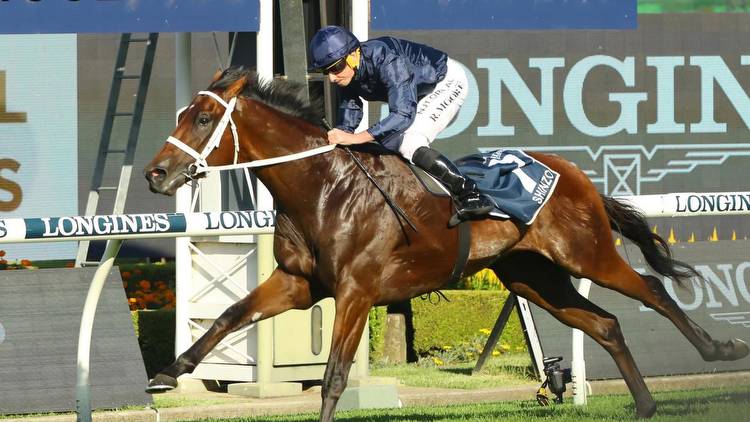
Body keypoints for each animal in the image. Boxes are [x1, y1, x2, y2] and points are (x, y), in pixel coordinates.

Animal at [144, 67, 748, 420]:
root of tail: (574, 171)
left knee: (651, 290)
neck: (323, 187)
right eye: (181, 115)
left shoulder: (356, 291)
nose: (156, 174)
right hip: (533, 275)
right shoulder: (297, 284)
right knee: (606, 324)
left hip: (588, 254)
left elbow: (334, 376)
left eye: (203, 118)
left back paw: (719, 350)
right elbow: (228, 315)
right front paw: (168, 372)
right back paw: (645, 405)